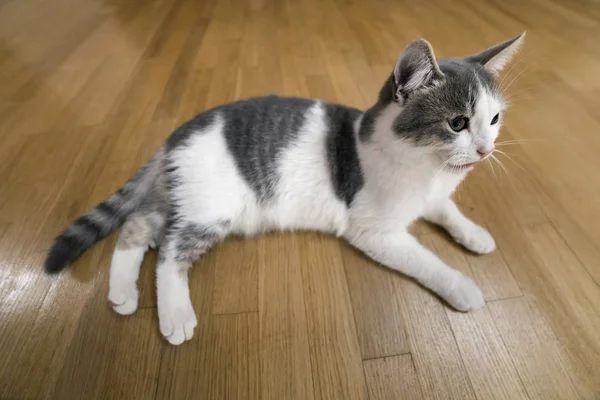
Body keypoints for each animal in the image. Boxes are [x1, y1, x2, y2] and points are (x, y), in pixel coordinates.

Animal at [45, 32, 524, 346]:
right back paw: (176, 313)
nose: (486, 150)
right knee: (168, 252)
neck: (425, 169)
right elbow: (426, 260)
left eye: (494, 119)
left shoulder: (431, 195)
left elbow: (445, 209)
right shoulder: (373, 231)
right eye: (457, 123)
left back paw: (123, 294)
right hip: (213, 207)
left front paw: (475, 234)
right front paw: (461, 286)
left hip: (182, 195)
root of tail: (176, 134)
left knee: (137, 224)